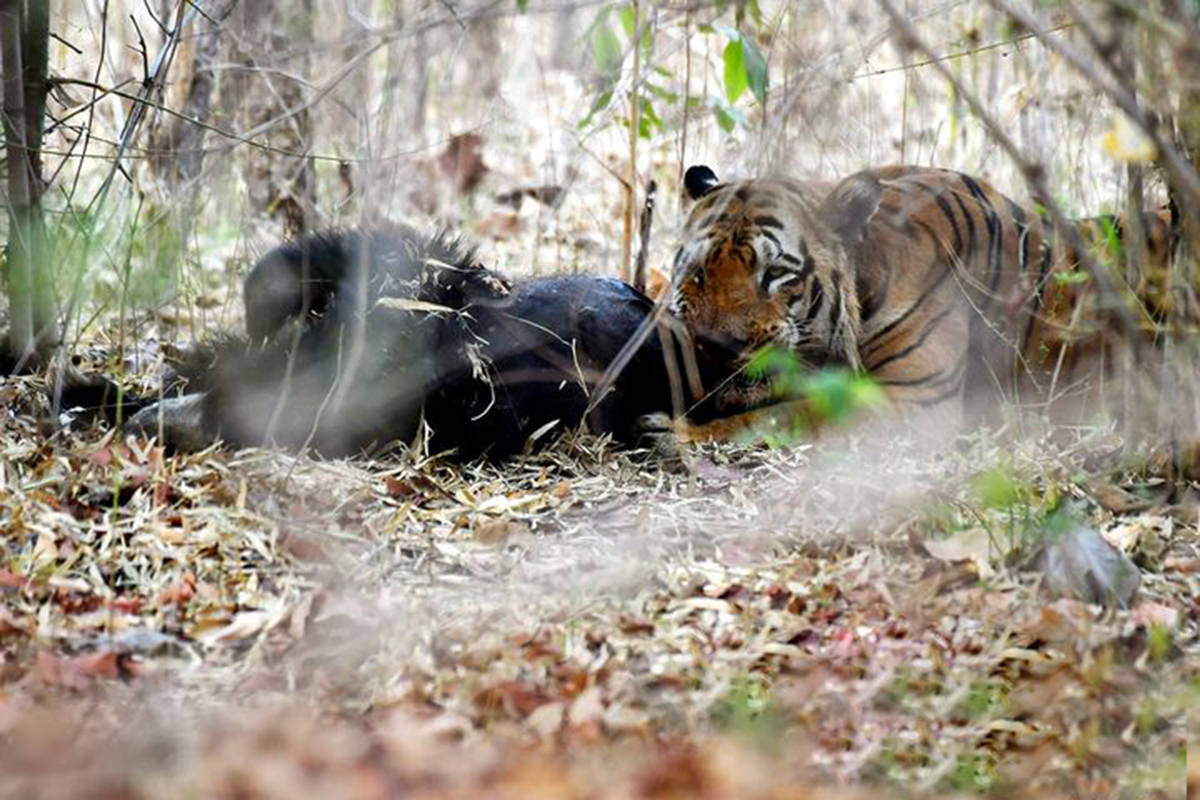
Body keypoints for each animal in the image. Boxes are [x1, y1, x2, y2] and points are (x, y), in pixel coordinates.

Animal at [662, 163, 1185, 443]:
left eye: (774, 275)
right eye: (698, 271)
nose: (714, 347)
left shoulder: (911, 401)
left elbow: (789, 414)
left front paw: (678, 435)